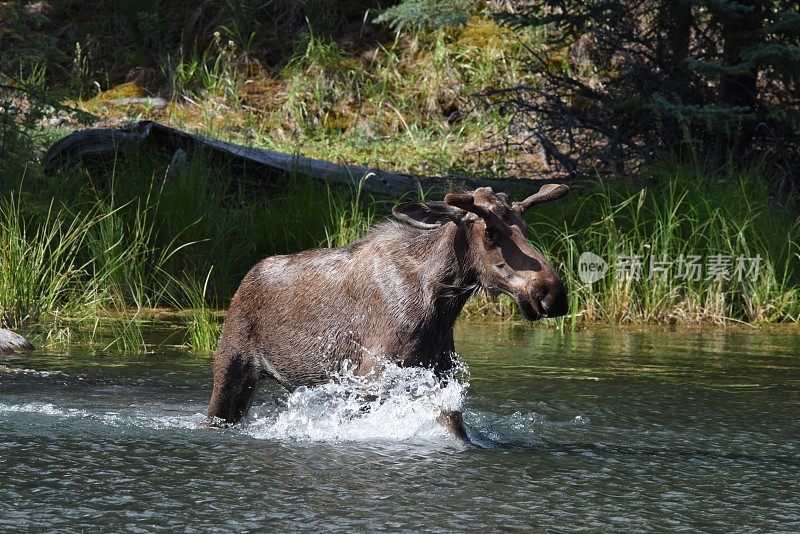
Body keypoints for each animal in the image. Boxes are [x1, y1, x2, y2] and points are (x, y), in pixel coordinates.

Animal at [206, 184, 568, 440]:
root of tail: (247, 278)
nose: (553, 294)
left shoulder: (436, 378)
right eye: (489, 231)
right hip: (232, 364)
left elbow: (456, 426)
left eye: (524, 226)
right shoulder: (371, 380)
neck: (439, 306)